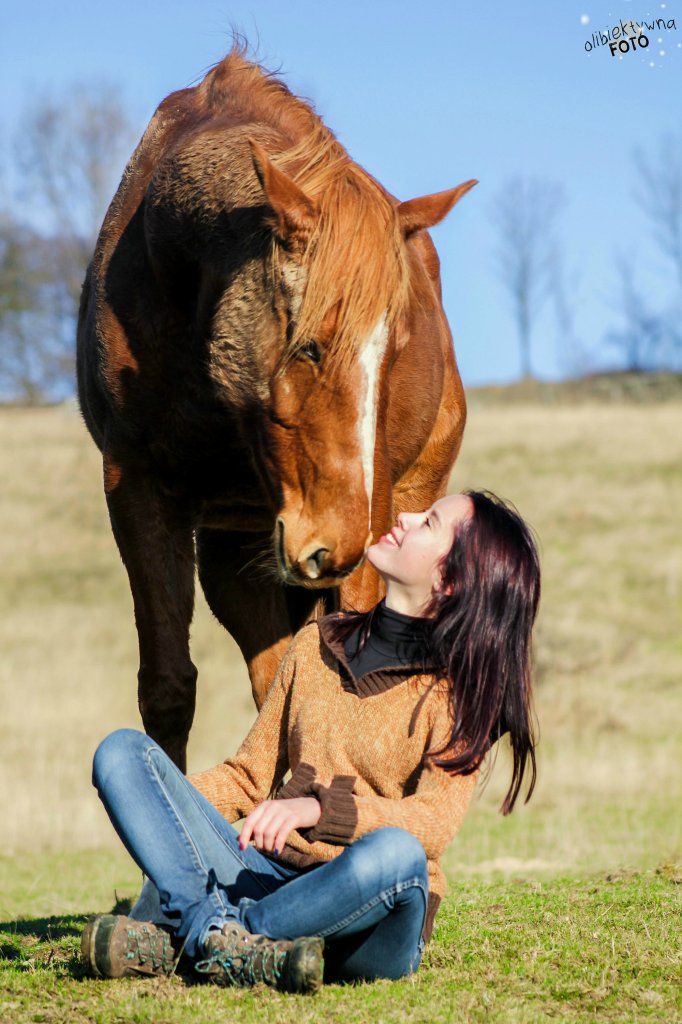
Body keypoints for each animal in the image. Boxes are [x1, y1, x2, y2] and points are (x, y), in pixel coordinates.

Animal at [76, 46, 475, 770]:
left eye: (397, 350)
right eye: (310, 346)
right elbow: (169, 688)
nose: (334, 546)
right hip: (240, 554)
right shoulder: (136, 487)